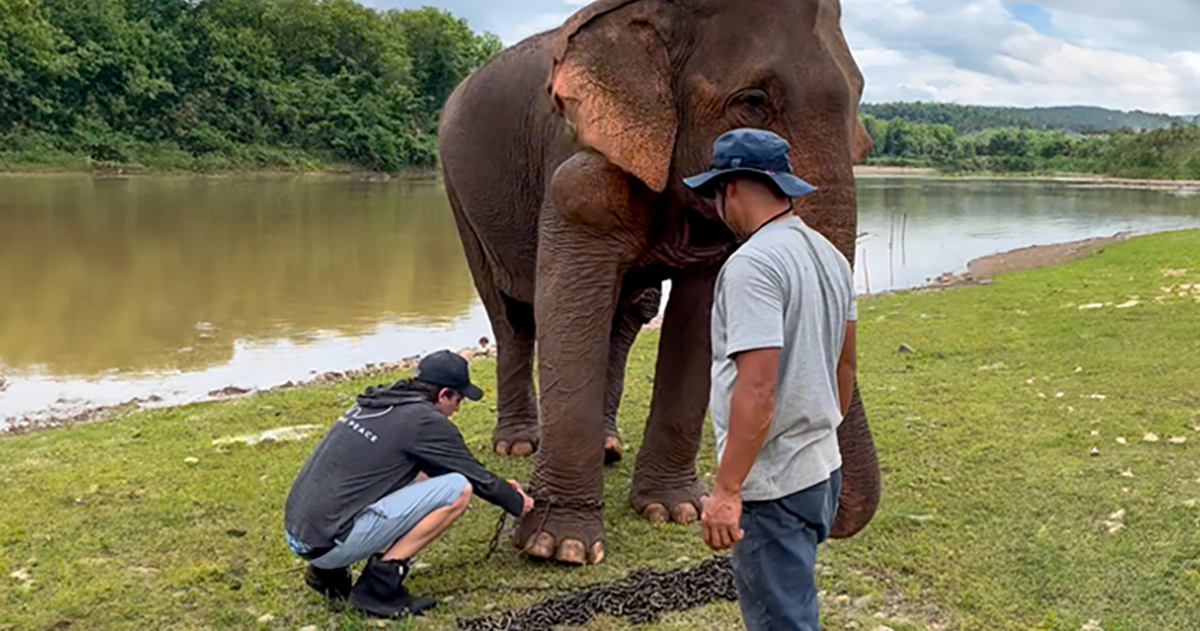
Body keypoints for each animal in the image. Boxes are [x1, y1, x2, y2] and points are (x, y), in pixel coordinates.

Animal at [441, 0, 883, 566]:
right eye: (754, 102)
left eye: (858, 98)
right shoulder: (577, 168)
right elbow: (567, 302)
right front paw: (560, 548)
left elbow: (699, 317)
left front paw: (674, 512)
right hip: (460, 197)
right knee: (511, 314)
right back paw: (518, 445)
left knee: (627, 313)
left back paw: (607, 447)